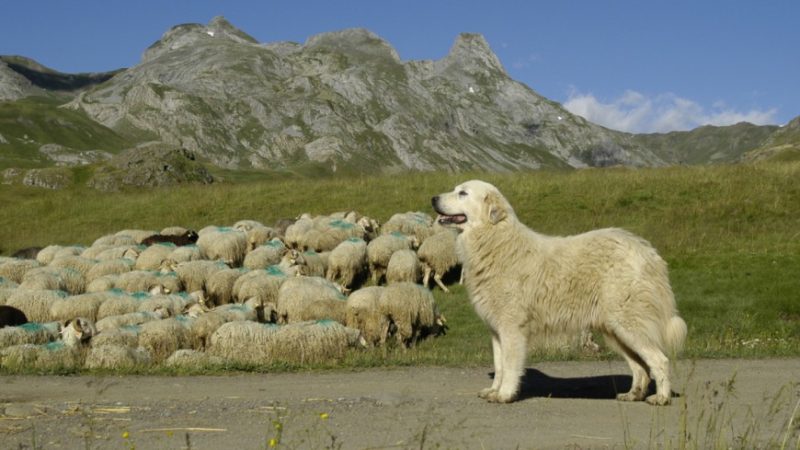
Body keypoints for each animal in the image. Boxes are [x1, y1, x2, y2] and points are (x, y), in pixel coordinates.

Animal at [432, 181, 688, 406]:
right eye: (456, 189)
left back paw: (661, 398)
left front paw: (505, 394)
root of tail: (649, 252)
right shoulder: (496, 330)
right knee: (640, 367)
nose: (433, 199)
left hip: (628, 324)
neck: (495, 241)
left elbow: (510, 365)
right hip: (616, 332)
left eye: (463, 193)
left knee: (660, 361)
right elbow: (499, 365)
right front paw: (494, 391)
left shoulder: (512, 328)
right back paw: (633, 395)